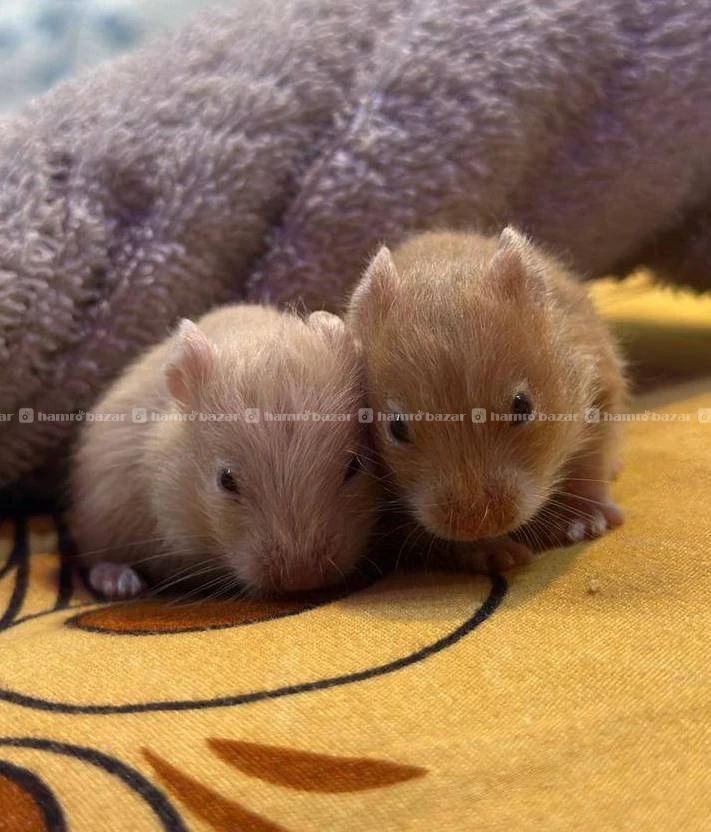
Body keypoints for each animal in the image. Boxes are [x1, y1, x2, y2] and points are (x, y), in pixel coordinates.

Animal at [347, 227, 626, 571]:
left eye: (522, 407)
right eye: (396, 429)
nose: (477, 524)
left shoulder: (602, 388)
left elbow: (590, 465)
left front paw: (583, 528)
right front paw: (503, 556)